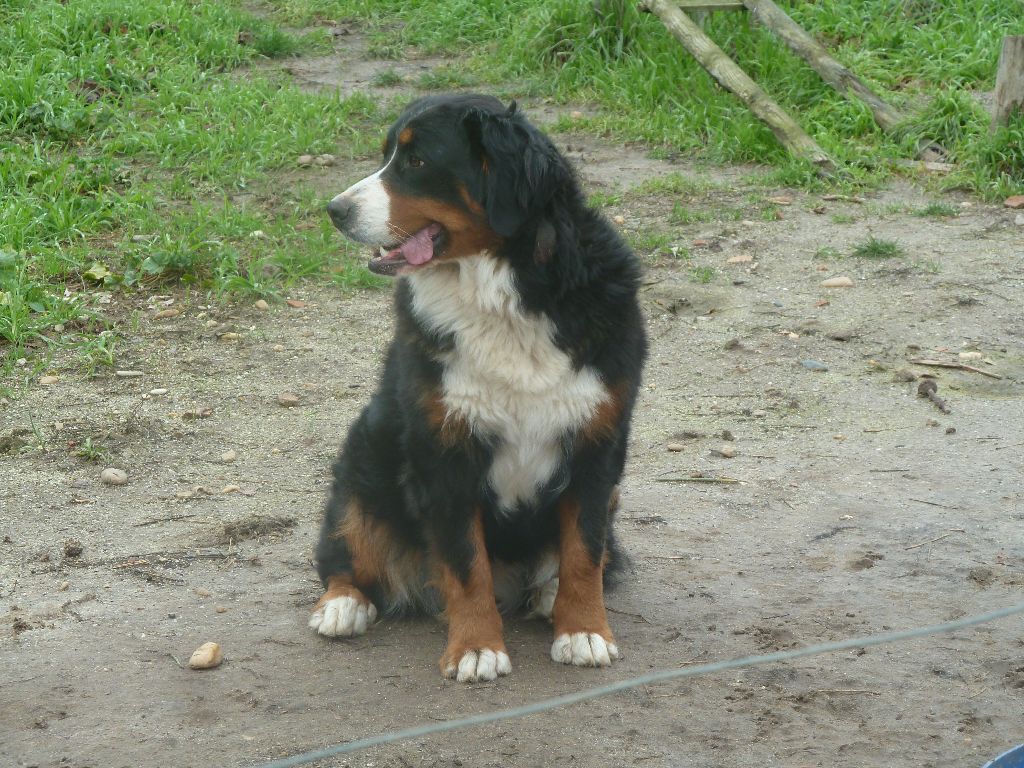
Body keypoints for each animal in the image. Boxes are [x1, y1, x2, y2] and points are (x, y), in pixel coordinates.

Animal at [311, 93, 647, 684]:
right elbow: (467, 566)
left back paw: (548, 595)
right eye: (387, 155)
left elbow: (584, 554)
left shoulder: (597, 446)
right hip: (365, 460)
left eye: (417, 161)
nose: (336, 210)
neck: (503, 294)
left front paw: (584, 631)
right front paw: (475, 647)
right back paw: (343, 604)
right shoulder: (444, 449)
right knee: (344, 550)